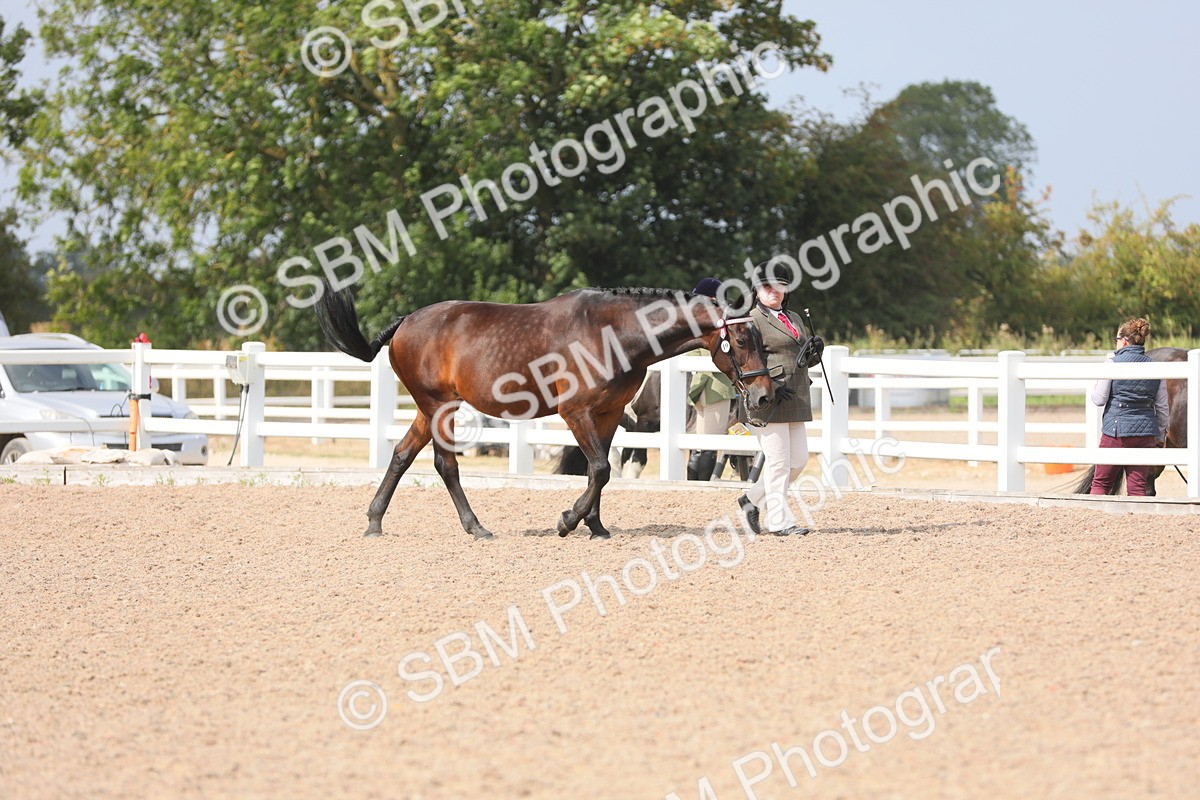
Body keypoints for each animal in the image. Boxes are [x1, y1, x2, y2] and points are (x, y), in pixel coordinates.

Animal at [314, 284, 776, 539]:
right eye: (742, 339)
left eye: (762, 340)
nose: (764, 396)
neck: (612, 333)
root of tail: (406, 321)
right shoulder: (576, 412)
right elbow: (600, 469)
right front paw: (568, 521)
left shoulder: (609, 415)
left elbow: (598, 470)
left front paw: (596, 527)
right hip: (439, 406)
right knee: (445, 464)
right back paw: (476, 527)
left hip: (430, 410)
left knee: (402, 455)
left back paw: (375, 522)